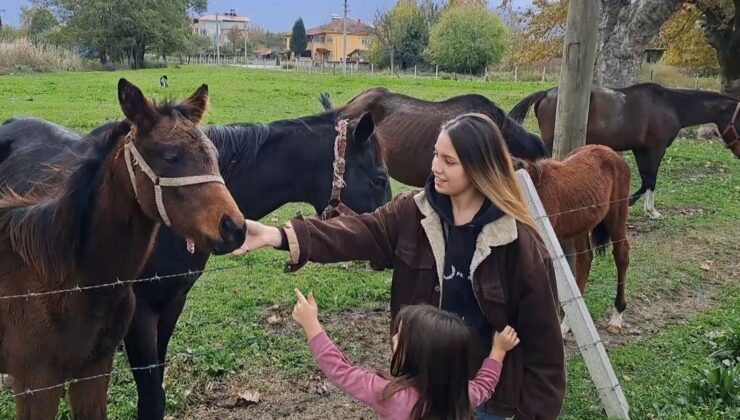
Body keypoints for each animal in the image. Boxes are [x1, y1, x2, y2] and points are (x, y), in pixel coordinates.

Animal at [508, 83, 740, 220]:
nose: (738, 152)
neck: (670, 106)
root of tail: (547, 93)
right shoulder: (656, 149)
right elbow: (651, 179)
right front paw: (652, 211)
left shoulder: (641, 149)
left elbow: (646, 179)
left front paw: (633, 202)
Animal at [516, 145, 632, 334]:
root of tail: (612, 152)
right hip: (581, 225)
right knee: (585, 259)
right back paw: (567, 325)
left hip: (616, 217)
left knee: (621, 255)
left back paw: (616, 317)